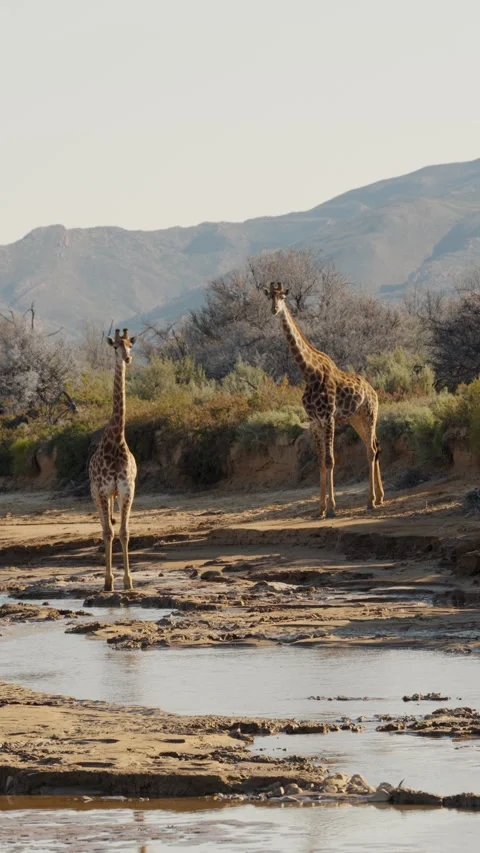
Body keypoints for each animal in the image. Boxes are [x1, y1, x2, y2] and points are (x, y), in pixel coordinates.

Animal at [264, 282, 384, 518]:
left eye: (282, 296)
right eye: (269, 297)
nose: (274, 309)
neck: (309, 373)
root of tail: (373, 391)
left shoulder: (328, 418)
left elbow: (330, 460)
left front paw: (331, 508)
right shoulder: (314, 420)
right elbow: (320, 461)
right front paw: (319, 509)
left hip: (369, 414)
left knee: (371, 450)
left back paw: (371, 502)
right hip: (355, 419)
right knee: (373, 446)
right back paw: (378, 498)